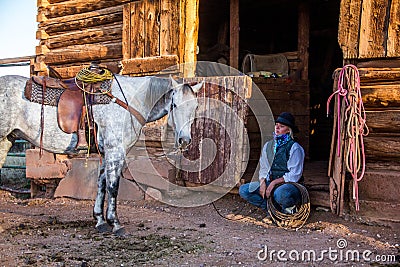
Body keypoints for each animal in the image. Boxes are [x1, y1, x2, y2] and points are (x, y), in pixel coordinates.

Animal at [0, 74, 203, 234]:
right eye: (174, 105)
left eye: (195, 107)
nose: (184, 140)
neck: (129, 101)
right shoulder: (115, 151)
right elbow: (113, 187)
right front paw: (115, 223)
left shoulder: (106, 154)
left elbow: (101, 184)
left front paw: (99, 221)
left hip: (6, 141)